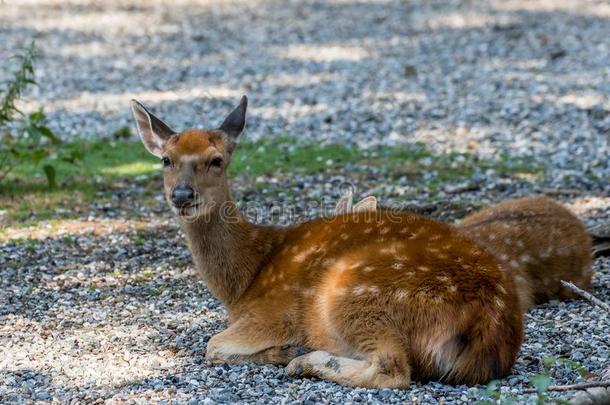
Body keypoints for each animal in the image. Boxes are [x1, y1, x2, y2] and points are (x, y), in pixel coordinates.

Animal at [131, 95, 520, 388]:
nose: (182, 195)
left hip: (356, 293)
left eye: (216, 160)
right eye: (166, 159)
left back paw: (303, 361)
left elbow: (213, 345)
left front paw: (283, 352)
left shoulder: (271, 315)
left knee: (392, 368)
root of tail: (491, 324)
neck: (242, 282)